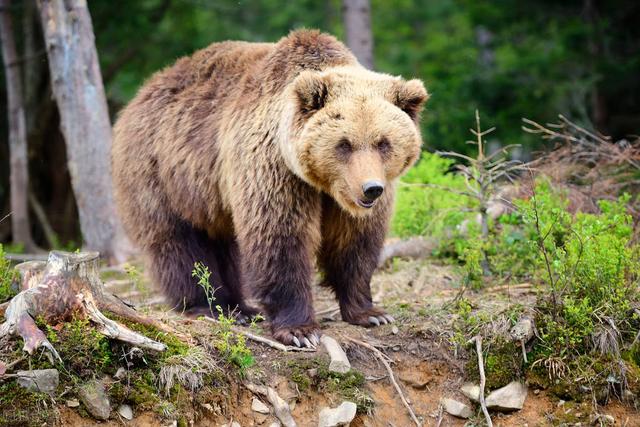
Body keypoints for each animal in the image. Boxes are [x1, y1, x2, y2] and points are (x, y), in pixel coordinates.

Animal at [112, 28, 428, 348]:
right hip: (161, 174)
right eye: (344, 144)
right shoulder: (274, 169)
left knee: (225, 244)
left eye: (383, 142)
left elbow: (355, 242)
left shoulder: (351, 199)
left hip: (210, 196)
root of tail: (141, 94)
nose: (370, 188)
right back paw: (208, 307)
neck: (322, 183)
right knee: (178, 243)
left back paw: (240, 307)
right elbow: (281, 238)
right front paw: (300, 331)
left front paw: (370, 312)